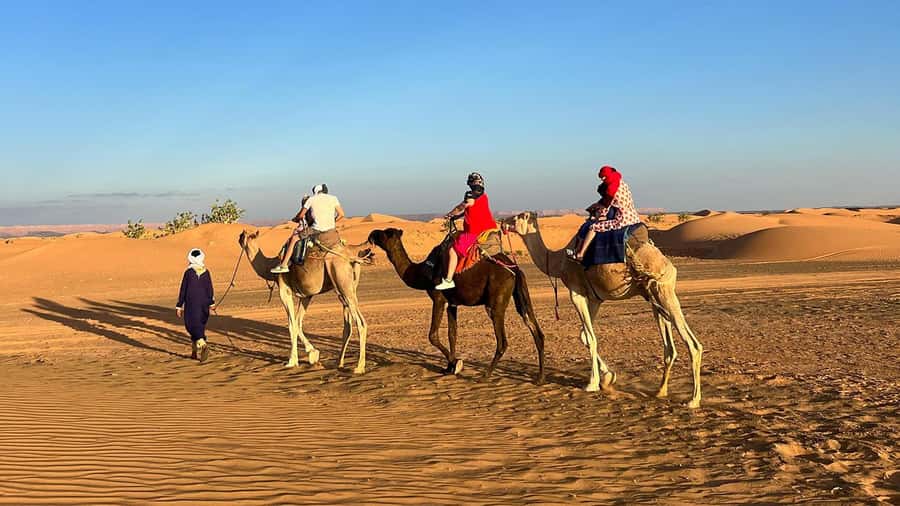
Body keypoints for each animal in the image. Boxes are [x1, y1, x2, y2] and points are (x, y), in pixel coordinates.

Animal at [237, 229, 369, 373]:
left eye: (246, 236)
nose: (240, 235)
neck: (270, 266)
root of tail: (352, 257)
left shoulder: (284, 291)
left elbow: (291, 325)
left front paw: (292, 361)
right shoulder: (306, 295)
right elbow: (298, 322)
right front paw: (313, 353)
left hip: (342, 283)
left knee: (361, 323)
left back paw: (359, 367)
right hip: (346, 289)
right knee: (347, 326)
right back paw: (339, 363)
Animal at [367, 228, 546, 383]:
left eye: (386, 233)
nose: (372, 234)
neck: (424, 272)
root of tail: (515, 269)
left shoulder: (438, 298)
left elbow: (432, 335)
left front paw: (456, 364)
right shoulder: (452, 304)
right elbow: (452, 334)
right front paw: (449, 368)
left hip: (496, 301)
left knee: (502, 340)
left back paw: (485, 375)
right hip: (520, 296)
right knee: (536, 330)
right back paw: (539, 378)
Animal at [504, 212, 703, 408]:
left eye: (517, 217)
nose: (503, 223)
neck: (558, 261)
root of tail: (668, 264)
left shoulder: (576, 292)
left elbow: (591, 338)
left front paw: (592, 383)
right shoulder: (595, 298)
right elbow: (584, 336)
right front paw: (608, 377)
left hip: (663, 290)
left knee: (693, 344)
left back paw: (693, 400)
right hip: (653, 296)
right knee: (669, 347)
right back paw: (660, 391)